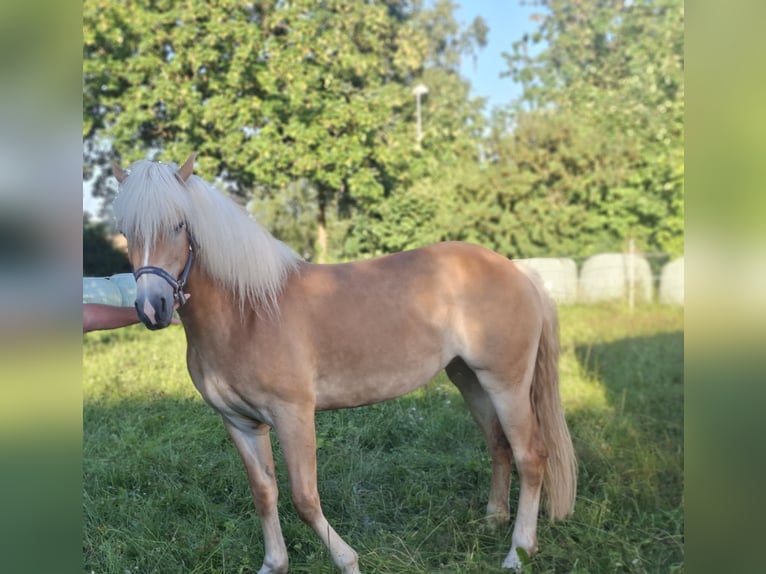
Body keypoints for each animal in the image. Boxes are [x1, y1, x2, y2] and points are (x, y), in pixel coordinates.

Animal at [110, 154, 577, 573]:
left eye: (179, 224)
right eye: (125, 232)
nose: (152, 308)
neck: (248, 314)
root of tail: (518, 272)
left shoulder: (293, 415)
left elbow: (303, 498)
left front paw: (347, 560)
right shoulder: (240, 422)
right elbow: (264, 493)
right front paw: (274, 564)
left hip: (507, 384)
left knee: (531, 456)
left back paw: (518, 552)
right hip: (470, 381)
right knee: (499, 446)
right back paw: (493, 521)